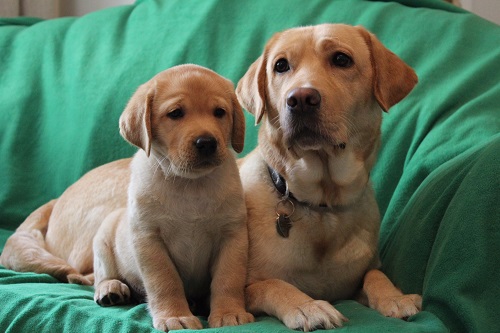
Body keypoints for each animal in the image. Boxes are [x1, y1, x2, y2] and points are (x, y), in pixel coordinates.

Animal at [1, 64, 254, 330]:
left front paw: (229, 312)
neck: (190, 185)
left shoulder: (233, 235)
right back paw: (111, 289)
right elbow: (165, 281)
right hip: (102, 241)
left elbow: (228, 279)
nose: (206, 142)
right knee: (97, 275)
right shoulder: (148, 239)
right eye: (175, 113)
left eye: (219, 112)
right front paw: (175, 316)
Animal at [237, 24, 422, 330]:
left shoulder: (359, 277)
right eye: (280, 66)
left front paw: (395, 298)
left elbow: (375, 275)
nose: (300, 99)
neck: (323, 205)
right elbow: (273, 284)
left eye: (341, 60)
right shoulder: (240, 288)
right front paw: (307, 307)